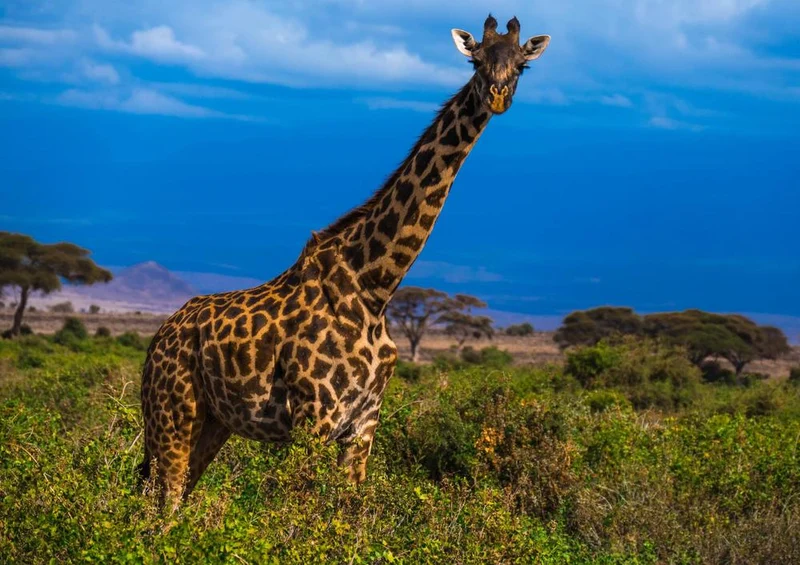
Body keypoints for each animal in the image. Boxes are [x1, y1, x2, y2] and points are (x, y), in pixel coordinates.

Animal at [138, 14, 550, 508]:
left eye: (522, 65)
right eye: (476, 59)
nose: (497, 95)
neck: (376, 285)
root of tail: (159, 338)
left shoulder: (363, 423)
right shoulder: (314, 417)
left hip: (213, 422)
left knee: (171, 494)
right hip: (172, 410)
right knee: (162, 498)